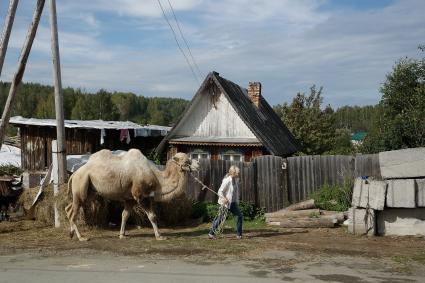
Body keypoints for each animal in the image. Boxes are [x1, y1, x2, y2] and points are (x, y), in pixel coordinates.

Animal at [66, 149, 199, 242]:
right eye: (187, 161)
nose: (198, 166)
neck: (157, 179)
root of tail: (74, 174)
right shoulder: (141, 196)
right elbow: (152, 216)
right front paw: (159, 236)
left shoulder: (130, 199)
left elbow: (125, 215)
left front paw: (122, 235)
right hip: (81, 183)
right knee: (73, 212)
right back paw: (82, 238)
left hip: (89, 191)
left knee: (69, 208)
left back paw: (71, 234)